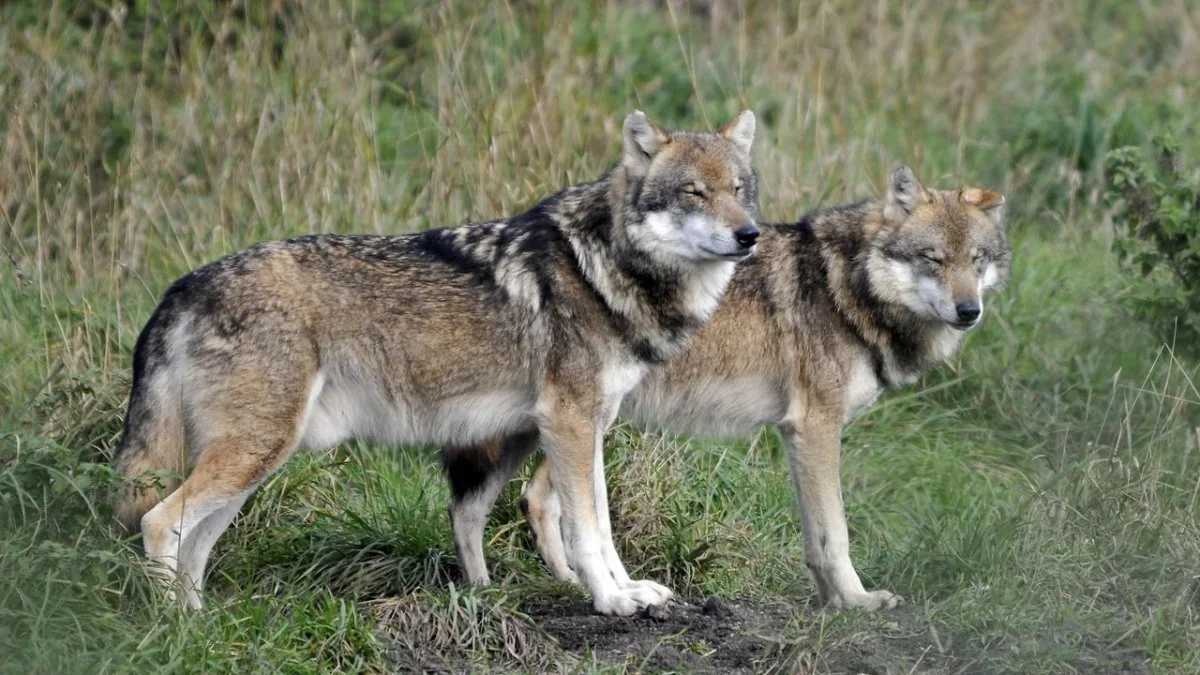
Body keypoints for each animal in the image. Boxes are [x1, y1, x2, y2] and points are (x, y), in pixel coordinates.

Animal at [114, 107, 768, 612]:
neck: (602, 267)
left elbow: (600, 525)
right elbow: (587, 531)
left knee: (196, 544)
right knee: (158, 522)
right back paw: (175, 626)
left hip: (255, 462)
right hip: (255, 452)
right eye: (694, 193)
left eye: (739, 190)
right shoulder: (571, 424)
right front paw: (611, 601)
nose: (750, 236)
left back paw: (200, 621)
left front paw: (629, 591)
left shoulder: (590, 426)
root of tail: (184, 284)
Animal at [446, 164, 1008, 610]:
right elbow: (836, 535)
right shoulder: (816, 427)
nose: (969, 311)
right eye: (933, 259)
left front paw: (830, 602)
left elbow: (815, 537)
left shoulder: (797, 435)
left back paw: (554, 584)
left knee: (531, 498)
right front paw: (856, 601)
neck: (842, 288)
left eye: (978, 260)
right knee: (528, 500)